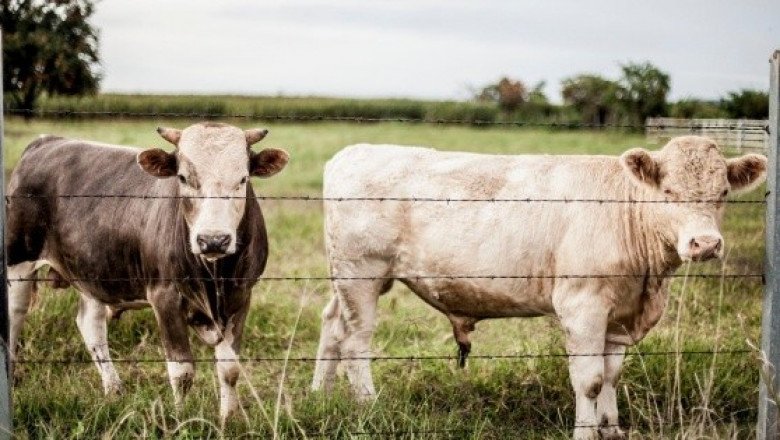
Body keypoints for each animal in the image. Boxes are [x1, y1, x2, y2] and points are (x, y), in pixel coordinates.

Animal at [6, 122, 289, 423]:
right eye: (183, 178)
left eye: (243, 179)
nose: (213, 240)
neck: (214, 277)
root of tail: (46, 141)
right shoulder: (165, 296)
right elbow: (182, 371)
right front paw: (180, 419)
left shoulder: (241, 295)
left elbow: (230, 369)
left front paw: (228, 420)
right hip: (18, 261)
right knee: (14, 318)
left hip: (91, 271)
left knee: (91, 326)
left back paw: (114, 390)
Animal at [311, 136, 766, 439]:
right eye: (668, 191)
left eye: (723, 192)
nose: (706, 244)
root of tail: (354, 151)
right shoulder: (582, 305)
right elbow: (590, 380)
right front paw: (585, 433)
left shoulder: (619, 313)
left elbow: (612, 374)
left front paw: (611, 429)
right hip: (361, 273)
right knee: (356, 341)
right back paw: (368, 404)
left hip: (346, 279)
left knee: (332, 325)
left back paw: (320, 395)